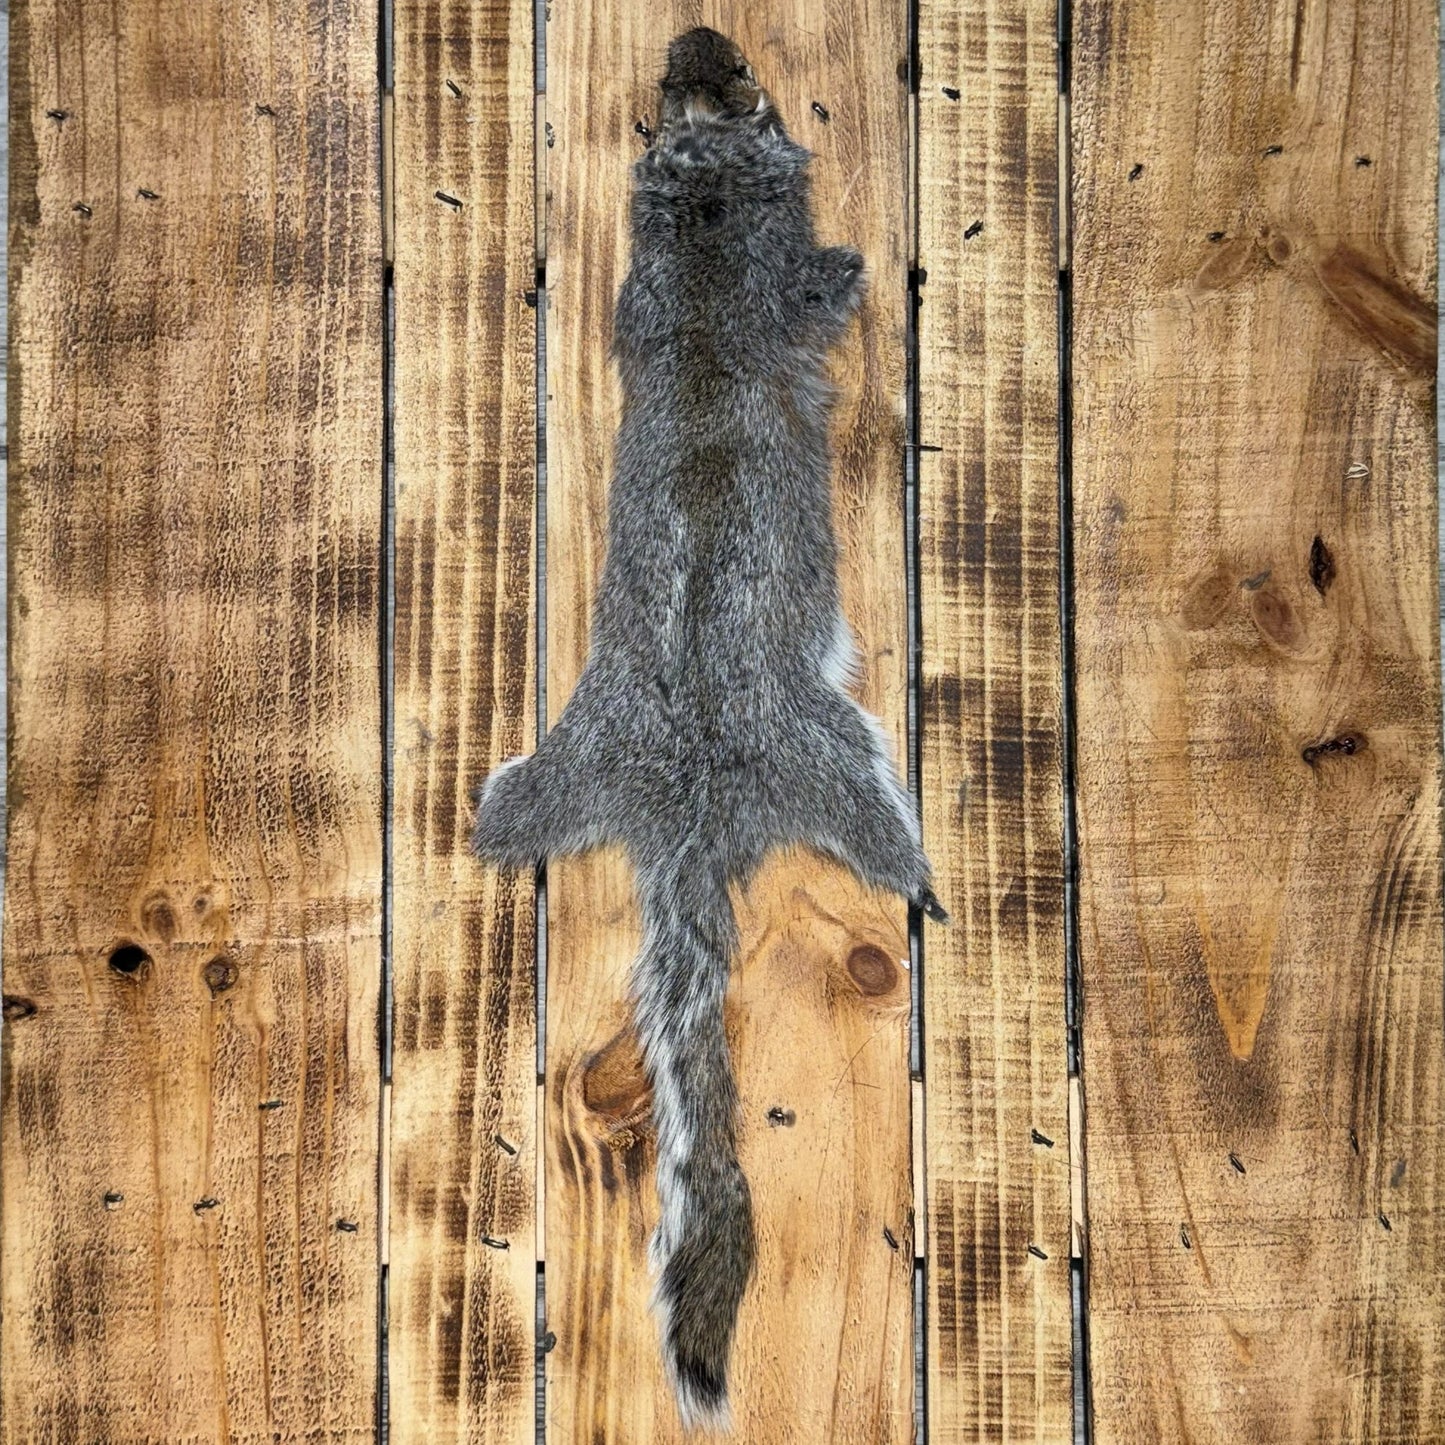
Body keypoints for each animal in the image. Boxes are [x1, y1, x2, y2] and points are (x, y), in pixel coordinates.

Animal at [472, 26, 946, 1431]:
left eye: (699, 97)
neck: (705, 238)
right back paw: (919, 869)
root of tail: (683, 804)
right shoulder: (773, 285)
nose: (699, 42)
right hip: (836, 751)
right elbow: (819, 292)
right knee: (882, 820)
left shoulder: (644, 299)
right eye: (762, 110)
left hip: (542, 770)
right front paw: (845, 269)